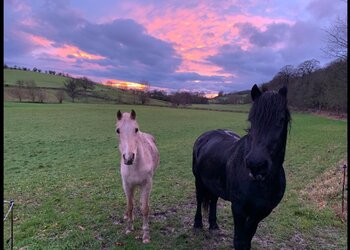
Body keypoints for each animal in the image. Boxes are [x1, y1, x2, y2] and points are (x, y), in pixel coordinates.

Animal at [191, 83, 290, 248]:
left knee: (213, 200)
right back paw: (198, 224)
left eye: (281, 120)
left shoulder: (261, 212)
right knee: (199, 199)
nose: (256, 164)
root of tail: (204, 136)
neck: (261, 183)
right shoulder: (238, 208)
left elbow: (247, 239)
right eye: (251, 120)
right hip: (198, 180)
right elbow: (239, 241)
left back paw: (213, 225)